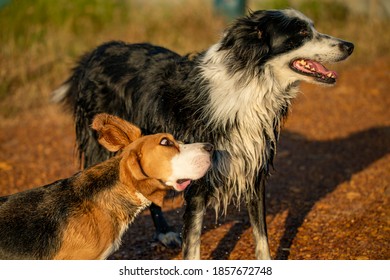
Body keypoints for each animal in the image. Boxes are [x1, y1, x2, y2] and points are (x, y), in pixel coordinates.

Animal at [53, 8, 354, 260]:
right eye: (301, 33)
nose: (350, 45)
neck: (249, 86)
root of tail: (96, 52)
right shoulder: (198, 180)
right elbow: (193, 247)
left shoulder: (254, 171)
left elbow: (262, 239)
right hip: (102, 147)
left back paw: (164, 232)